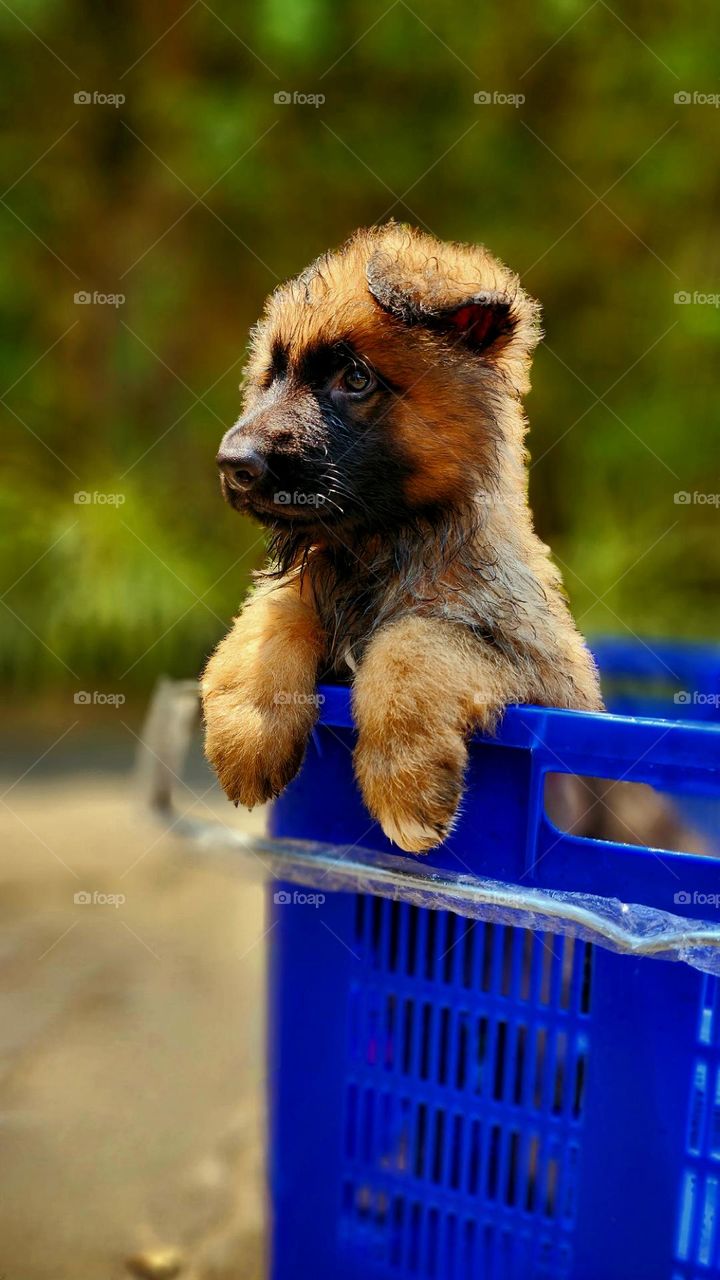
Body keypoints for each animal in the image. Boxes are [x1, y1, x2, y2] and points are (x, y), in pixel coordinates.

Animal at [198, 226, 597, 855]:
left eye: (356, 378)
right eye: (272, 375)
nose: (233, 464)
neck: (378, 547)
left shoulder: (545, 676)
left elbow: (414, 641)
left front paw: (403, 784)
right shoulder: (311, 587)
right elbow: (272, 614)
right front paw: (248, 731)